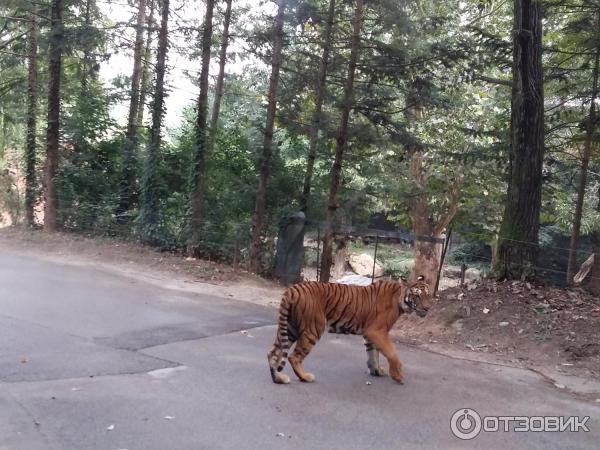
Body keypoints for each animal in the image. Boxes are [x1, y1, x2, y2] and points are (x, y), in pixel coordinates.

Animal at [268, 276, 432, 384]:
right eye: (417, 296)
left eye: (428, 295)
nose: (427, 308)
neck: (400, 299)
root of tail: (292, 289)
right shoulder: (377, 331)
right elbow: (392, 353)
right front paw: (398, 376)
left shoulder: (371, 334)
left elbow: (373, 354)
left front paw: (376, 371)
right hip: (313, 329)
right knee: (293, 357)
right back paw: (305, 377)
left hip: (290, 328)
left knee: (273, 353)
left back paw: (279, 378)